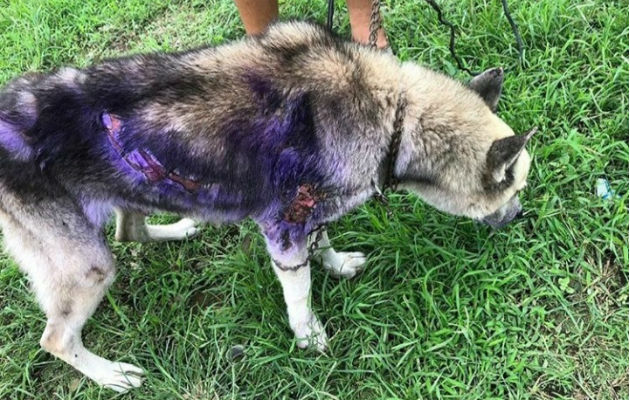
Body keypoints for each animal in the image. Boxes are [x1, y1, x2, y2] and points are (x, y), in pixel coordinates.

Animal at [0, 21, 540, 390]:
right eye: (513, 188)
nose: (521, 218)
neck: (396, 114)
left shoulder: (310, 208)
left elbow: (322, 241)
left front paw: (337, 264)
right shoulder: (283, 227)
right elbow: (300, 291)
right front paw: (310, 338)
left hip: (132, 189)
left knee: (127, 231)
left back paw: (178, 229)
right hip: (88, 266)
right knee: (56, 338)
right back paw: (111, 375)